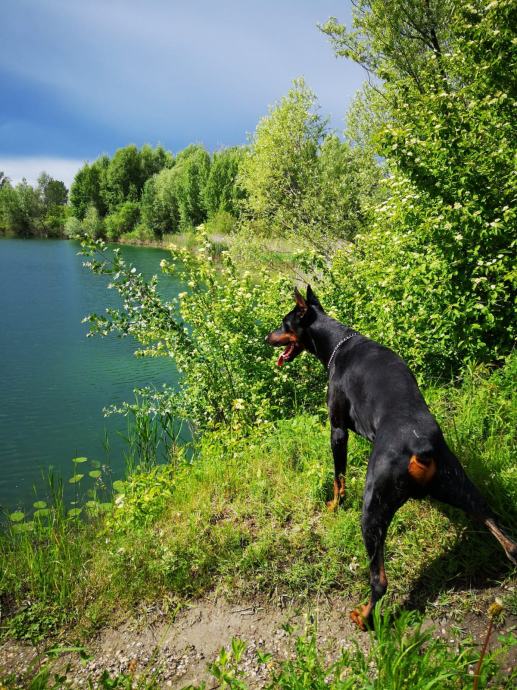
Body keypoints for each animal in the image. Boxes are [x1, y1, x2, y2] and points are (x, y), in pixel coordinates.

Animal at [266, 284, 516, 628]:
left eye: (284, 323)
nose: (267, 337)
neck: (337, 342)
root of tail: (421, 448)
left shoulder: (337, 429)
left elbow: (338, 476)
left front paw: (333, 505)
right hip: (459, 484)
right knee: (502, 533)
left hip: (373, 507)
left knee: (379, 580)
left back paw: (363, 616)